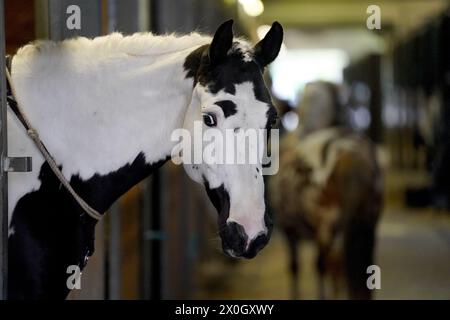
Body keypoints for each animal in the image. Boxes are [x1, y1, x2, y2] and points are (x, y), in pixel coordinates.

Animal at [268, 81, 382, 298]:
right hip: (366, 225)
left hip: (329, 226)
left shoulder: (289, 229)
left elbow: (298, 267)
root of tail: (351, 154)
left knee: (335, 268)